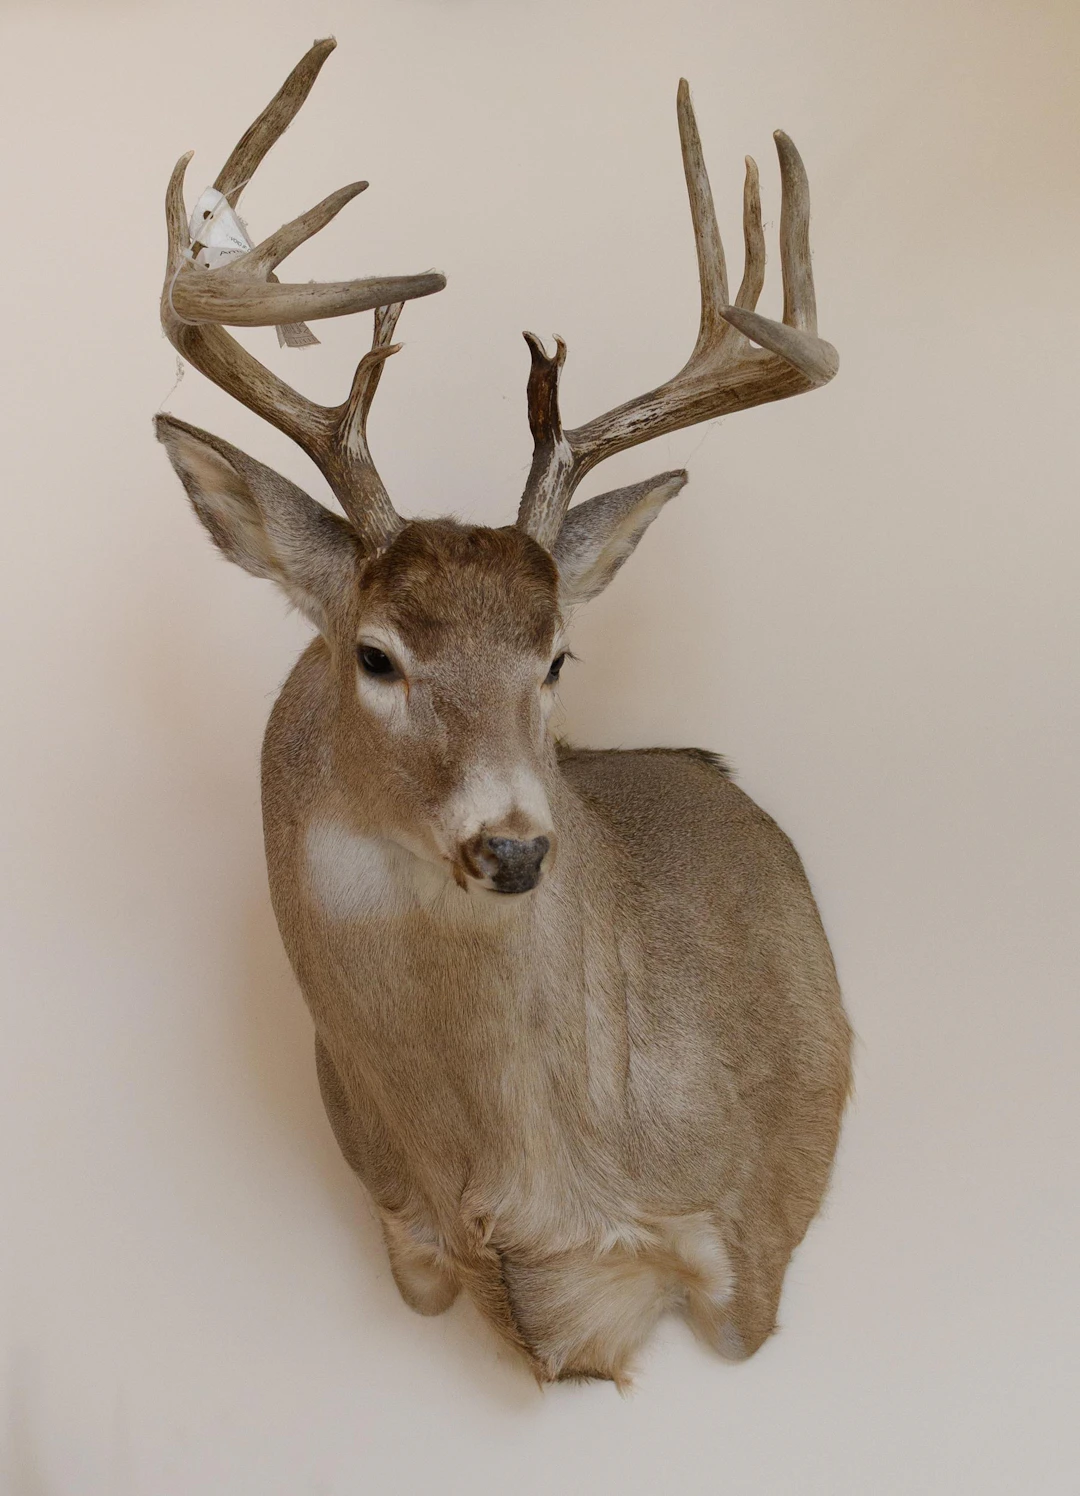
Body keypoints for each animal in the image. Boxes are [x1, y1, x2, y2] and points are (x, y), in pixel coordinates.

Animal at [155, 38, 852, 1387]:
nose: (517, 843)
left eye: (558, 656)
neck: (527, 1186)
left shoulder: (754, 1232)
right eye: (375, 653)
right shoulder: (407, 1240)